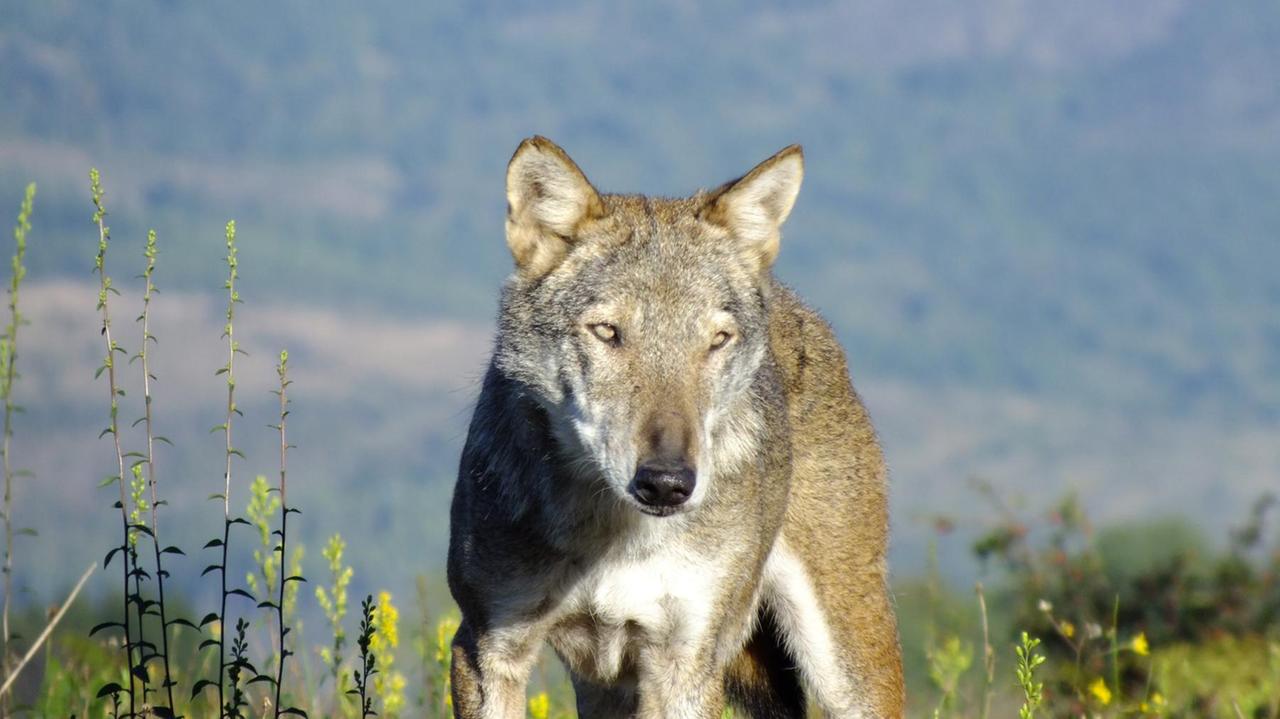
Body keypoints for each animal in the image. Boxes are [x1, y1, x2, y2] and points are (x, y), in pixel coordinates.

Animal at [447, 136, 904, 718]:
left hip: (845, 663)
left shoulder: (685, 665)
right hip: (606, 685)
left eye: (716, 340)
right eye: (608, 332)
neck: (613, 536)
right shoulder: (487, 646)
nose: (666, 483)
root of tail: (794, 301)